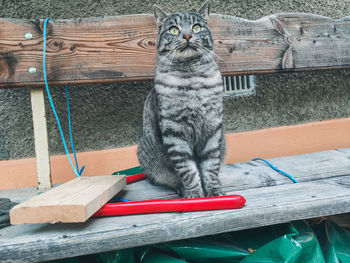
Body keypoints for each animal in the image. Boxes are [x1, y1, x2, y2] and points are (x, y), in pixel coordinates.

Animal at [136, 0, 224, 198]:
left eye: (197, 27)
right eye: (174, 29)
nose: (187, 35)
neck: (193, 80)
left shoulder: (213, 129)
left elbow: (210, 167)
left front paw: (215, 191)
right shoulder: (175, 132)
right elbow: (188, 170)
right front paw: (195, 195)